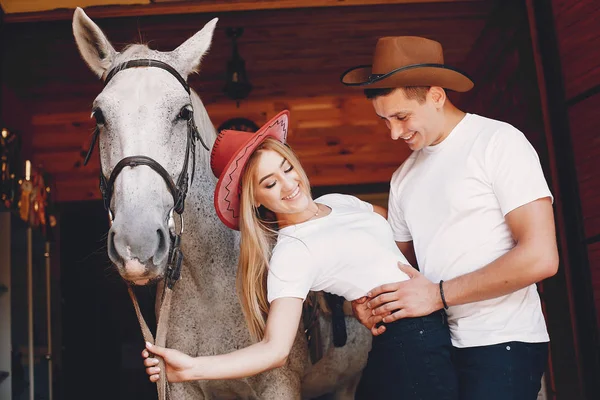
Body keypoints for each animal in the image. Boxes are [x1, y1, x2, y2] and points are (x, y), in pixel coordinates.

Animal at [70, 7, 370, 398]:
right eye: (99, 116)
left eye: (183, 113)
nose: (137, 243)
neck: (210, 285)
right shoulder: (180, 386)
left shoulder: (280, 383)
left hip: (346, 383)